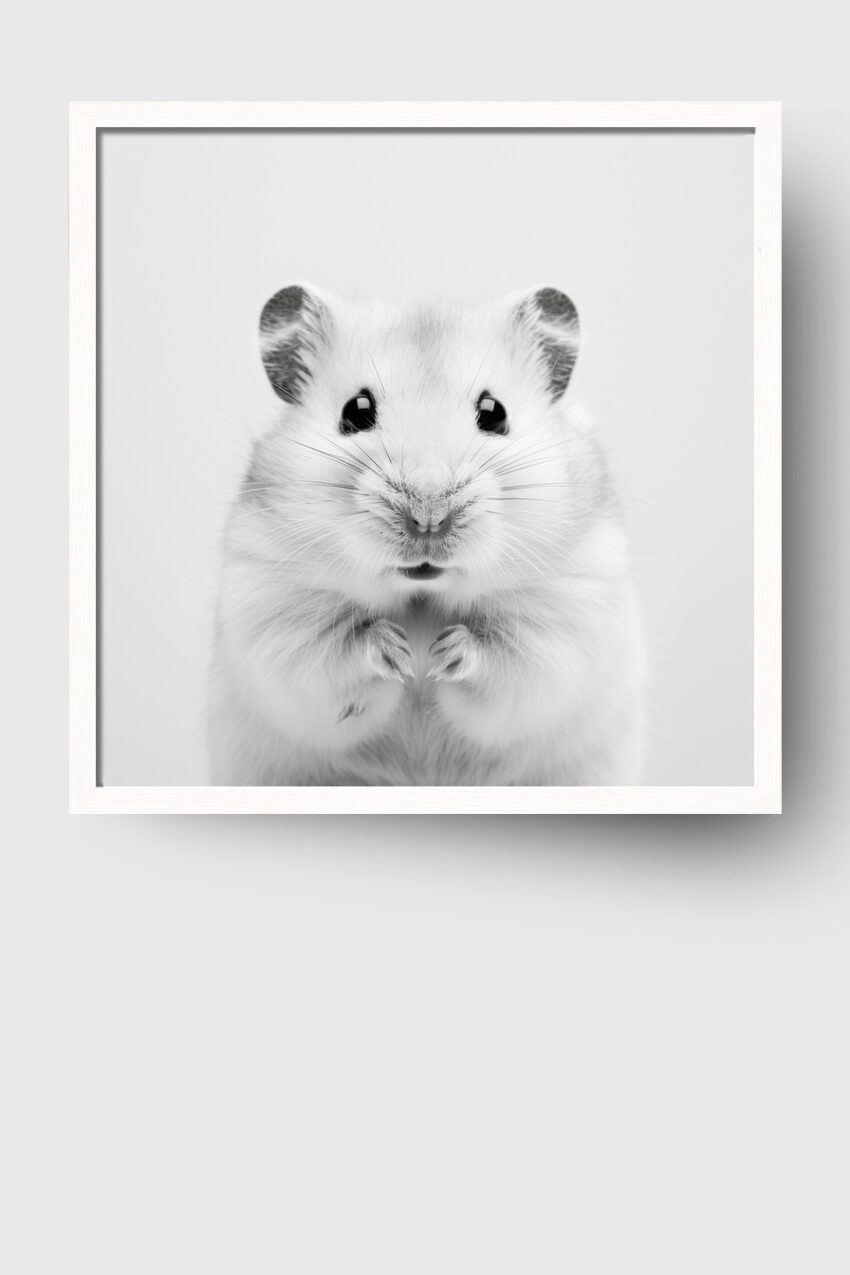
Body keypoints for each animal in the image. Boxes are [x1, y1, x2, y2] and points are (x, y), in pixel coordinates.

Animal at [208, 283, 645, 785]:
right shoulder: (271, 614)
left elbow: (508, 664)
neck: (421, 597)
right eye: (355, 411)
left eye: (494, 413)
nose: (429, 516)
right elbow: (332, 657)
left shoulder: (566, 621)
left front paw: (440, 657)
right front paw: (399, 653)